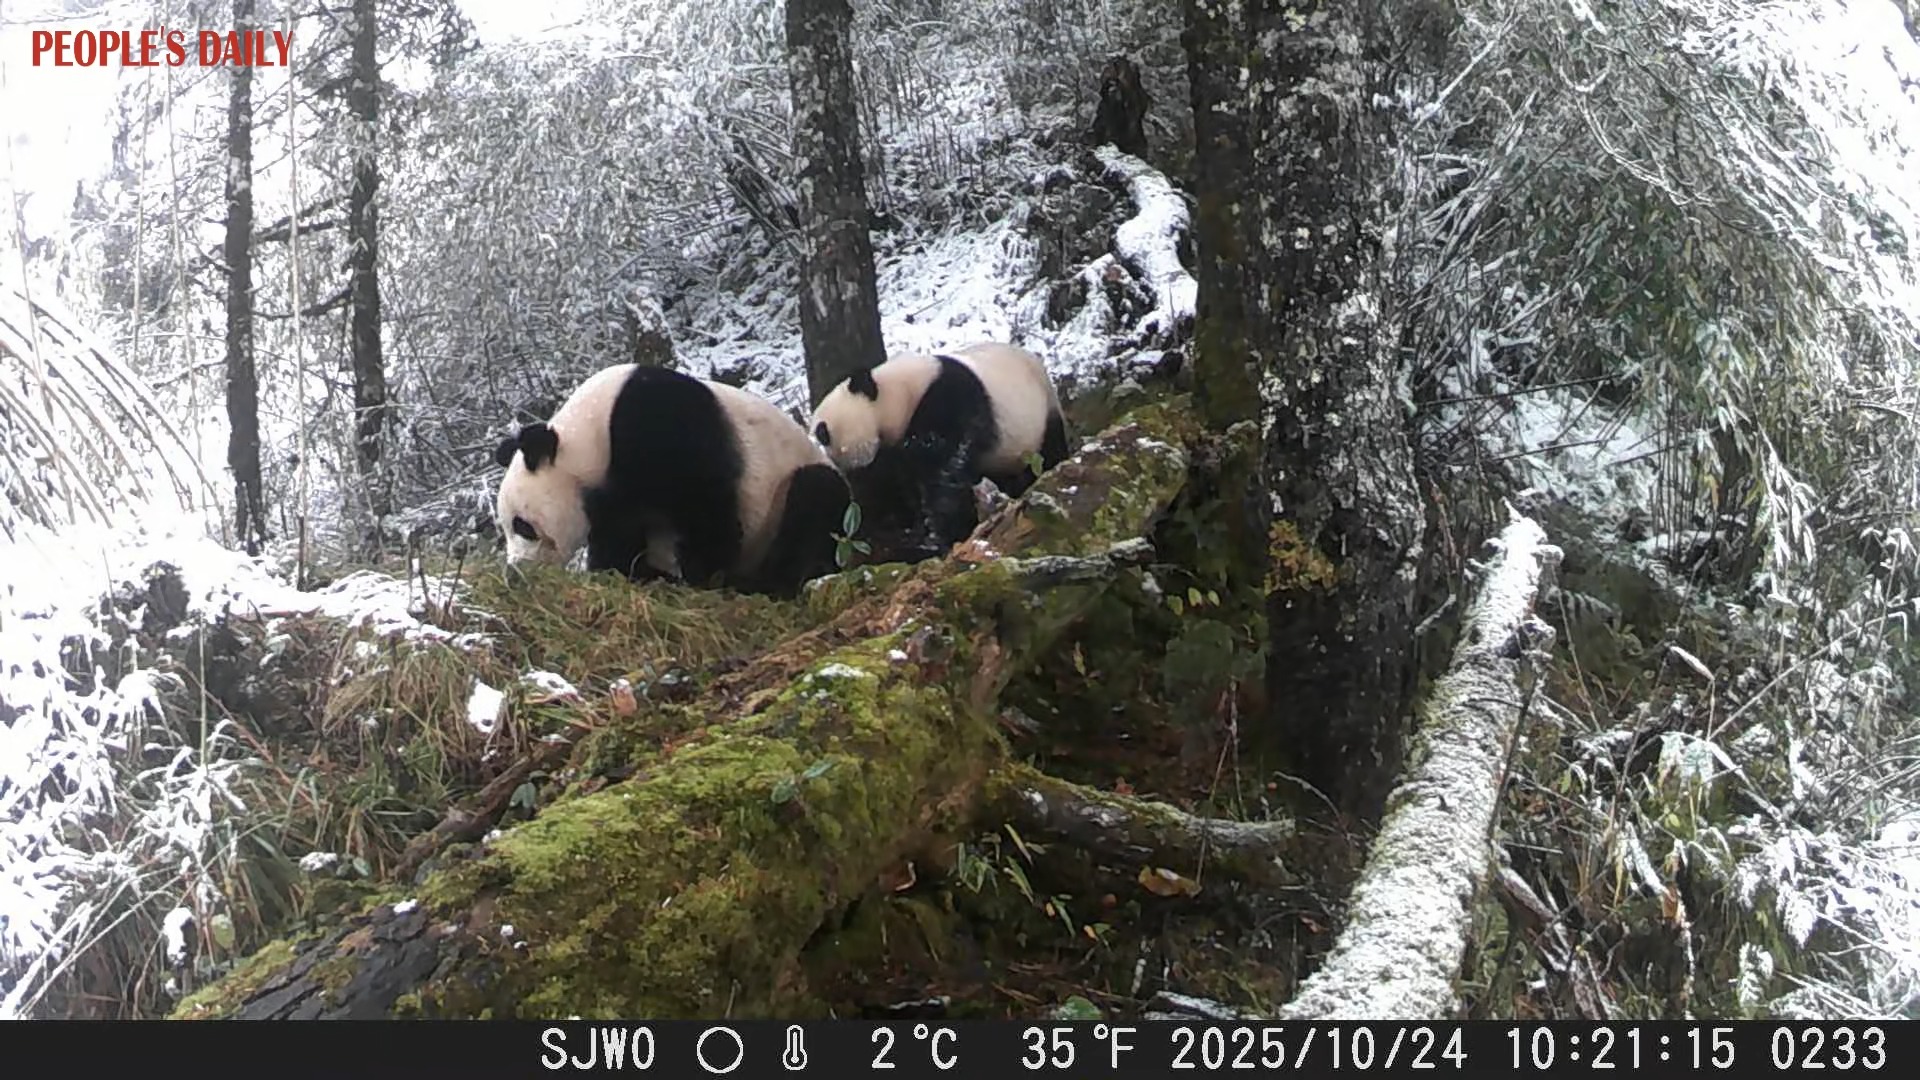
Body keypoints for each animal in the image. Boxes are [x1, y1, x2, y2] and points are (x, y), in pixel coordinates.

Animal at [492, 364, 852, 598]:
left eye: (523, 526)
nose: (515, 574)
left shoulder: (663, 425)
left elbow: (706, 508)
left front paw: (703, 578)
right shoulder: (612, 497)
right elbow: (621, 537)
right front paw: (634, 574)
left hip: (791, 491)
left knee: (814, 500)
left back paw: (764, 582)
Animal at [807, 340, 1071, 561]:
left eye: (822, 431)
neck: (898, 394)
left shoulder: (948, 401)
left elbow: (945, 470)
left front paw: (936, 538)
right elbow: (904, 487)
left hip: (1040, 416)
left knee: (1049, 451)